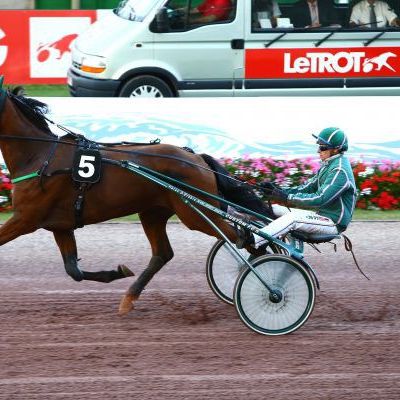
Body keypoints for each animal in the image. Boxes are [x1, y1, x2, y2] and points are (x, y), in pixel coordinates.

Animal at [0, 83, 274, 316]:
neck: (40, 156)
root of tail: (196, 158)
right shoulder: (60, 225)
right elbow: (73, 270)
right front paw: (116, 272)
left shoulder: (25, 219)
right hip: (154, 212)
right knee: (164, 253)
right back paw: (129, 298)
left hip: (195, 213)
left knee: (241, 236)